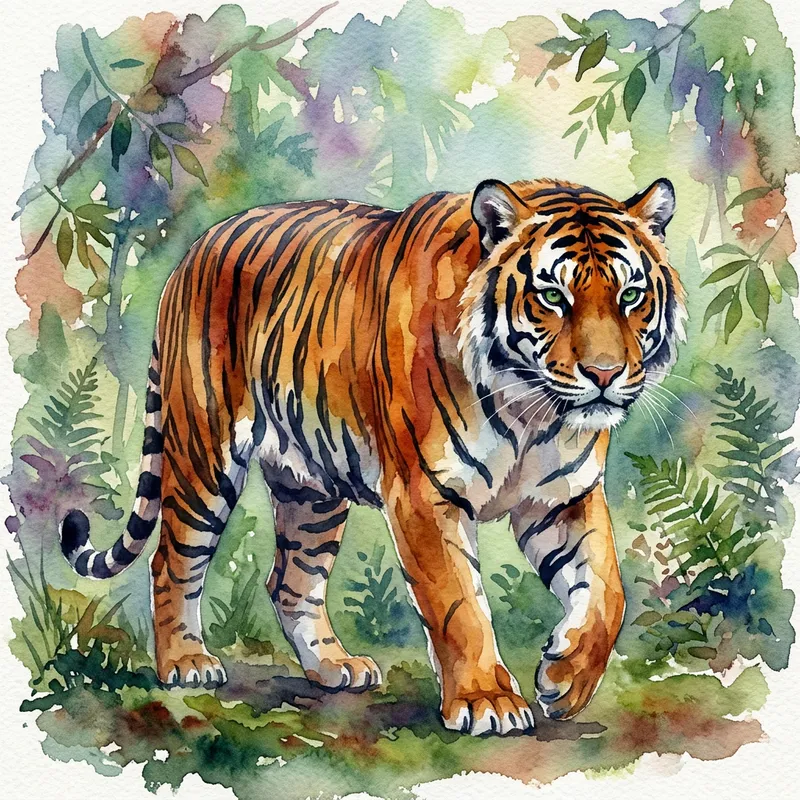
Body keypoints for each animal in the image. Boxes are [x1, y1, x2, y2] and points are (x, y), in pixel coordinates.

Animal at [59, 176, 684, 736]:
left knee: (290, 580)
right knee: (172, 560)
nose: (604, 374)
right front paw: (488, 701)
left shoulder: (563, 497)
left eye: (630, 296)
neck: (533, 412)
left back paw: (335, 667)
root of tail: (195, 249)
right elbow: (459, 604)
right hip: (203, 457)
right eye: (553, 296)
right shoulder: (425, 495)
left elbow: (607, 593)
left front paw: (565, 680)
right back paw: (185, 663)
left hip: (311, 490)